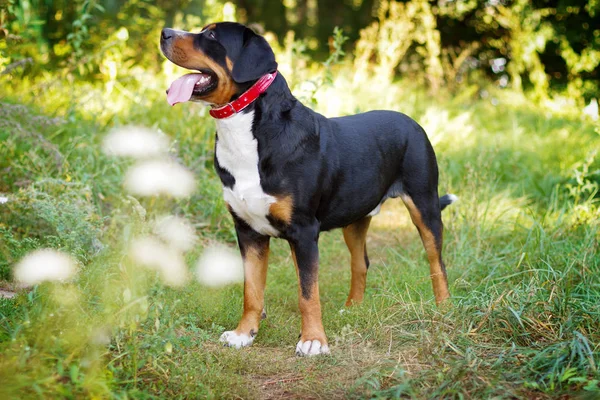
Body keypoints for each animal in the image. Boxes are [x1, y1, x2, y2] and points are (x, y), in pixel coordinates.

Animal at [159, 21, 454, 356]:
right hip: (355, 218)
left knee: (436, 262)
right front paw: (244, 333)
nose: (165, 32)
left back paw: (444, 309)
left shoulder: (303, 231)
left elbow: (308, 293)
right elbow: (252, 291)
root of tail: (412, 122)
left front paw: (313, 340)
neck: (247, 133)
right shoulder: (248, 231)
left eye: (210, 36)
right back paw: (353, 308)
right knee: (360, 263)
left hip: (424, 204)